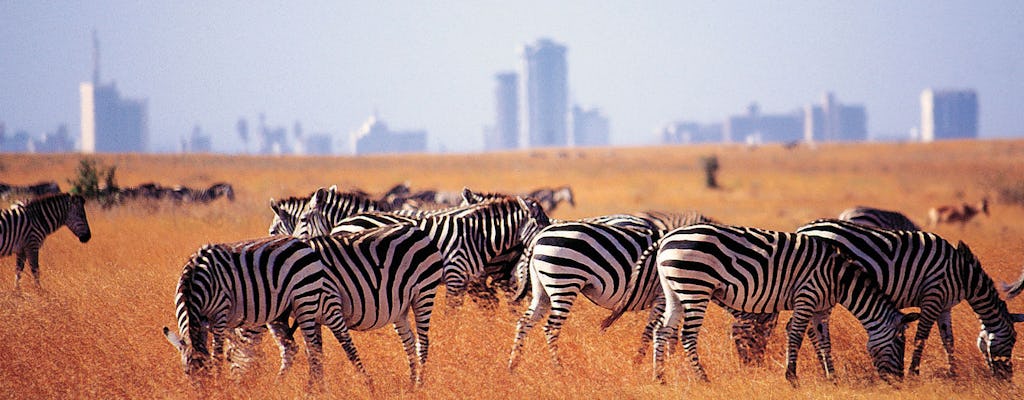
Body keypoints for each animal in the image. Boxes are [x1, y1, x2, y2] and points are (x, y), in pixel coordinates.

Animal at [626, 224, 917, 386]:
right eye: (900, 342)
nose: (899, 383)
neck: (839, 279)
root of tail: (666, 239)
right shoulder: (806, 295)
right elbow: (795, 334)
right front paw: (792, 377)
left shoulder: (821, 309)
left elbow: (825, 342)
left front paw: (831, 378)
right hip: (695, 286)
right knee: (687, 335)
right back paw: (702, 379)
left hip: (673, 289)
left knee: (662, 330)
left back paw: (660, 377)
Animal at [798, 218, 1024, 378]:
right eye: (1013, 339)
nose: (1007, 379)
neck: (963, 275)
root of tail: (804, 229)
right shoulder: (932, 296)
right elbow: (921, 337)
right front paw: (913, 373)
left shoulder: (945, 306)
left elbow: (948, 340)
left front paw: (953, 374)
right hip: (822, 288)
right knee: (811, 329)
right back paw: (827, 371)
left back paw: (825, 371)